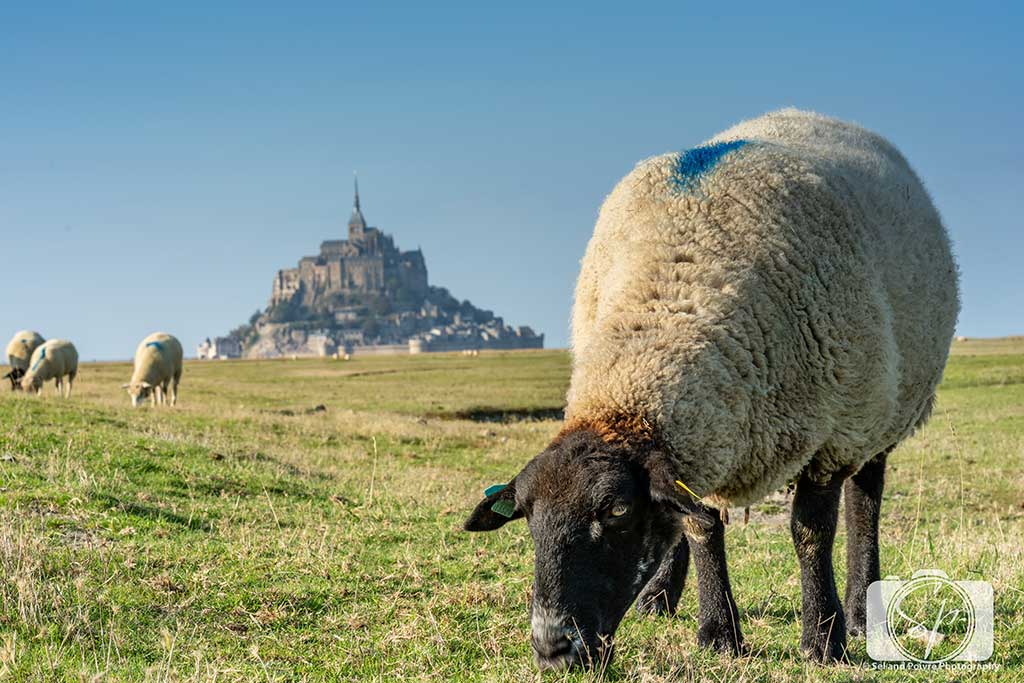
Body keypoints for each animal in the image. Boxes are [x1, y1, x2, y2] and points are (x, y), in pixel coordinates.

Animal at [464, 109, 958, 669]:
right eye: (527, 518)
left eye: (617, 512)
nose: (553, 649)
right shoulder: (708, 428)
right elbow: (700, 526)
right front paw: (720, 633)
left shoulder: (832, 437)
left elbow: (810, 533)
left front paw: (823, 639)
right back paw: (659, 597)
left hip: (881, 406)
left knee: (865, 503)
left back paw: (860, 611)